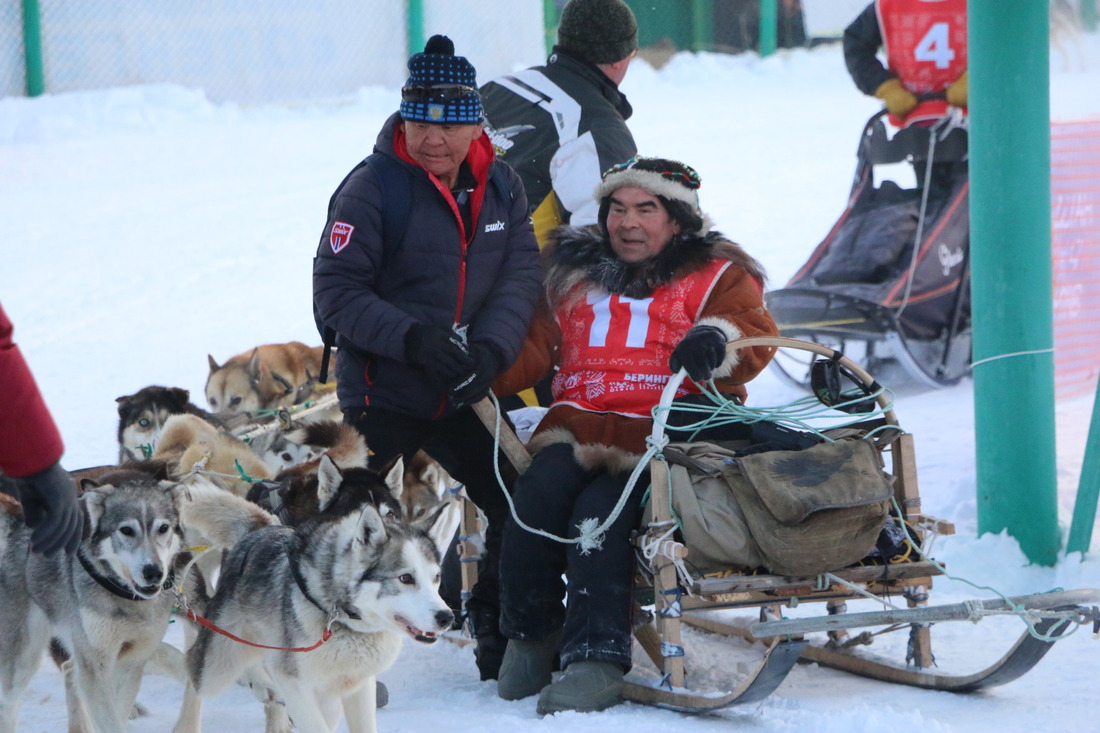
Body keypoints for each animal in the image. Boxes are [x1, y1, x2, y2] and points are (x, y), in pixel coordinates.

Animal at [0, 468, 195, 730]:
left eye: (163, 528)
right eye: (126, 530)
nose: (153, 571)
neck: (125, 597)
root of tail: (19, 521)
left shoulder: (132, 661)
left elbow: (118, 714)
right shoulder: (96, 665)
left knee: (70, 670)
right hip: (24, 656)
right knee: (9, 704)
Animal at [173, 457, 448, 730]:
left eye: (436, 577)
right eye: (405, 578)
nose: (447, 617)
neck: (342, 618)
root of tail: (261, 529)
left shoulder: (357, 684)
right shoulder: (292, 682)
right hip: (217, 664)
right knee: (193, 672)